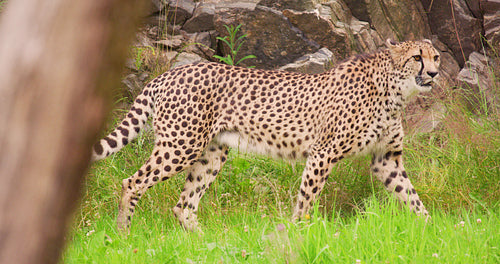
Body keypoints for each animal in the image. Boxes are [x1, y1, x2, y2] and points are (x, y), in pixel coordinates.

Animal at [92, 38, 440, 231]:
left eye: (434, 56)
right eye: (416, 57)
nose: (435, 74)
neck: (394, 89)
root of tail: (170, 73)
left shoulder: (386, 159)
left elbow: (412, 197)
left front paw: (433, 230)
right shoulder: (323, 153)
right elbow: (306, 201)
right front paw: (299, 234)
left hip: (211, 153)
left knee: (184, 205)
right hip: (181, 145)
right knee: (132, 183)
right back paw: (124, 235)